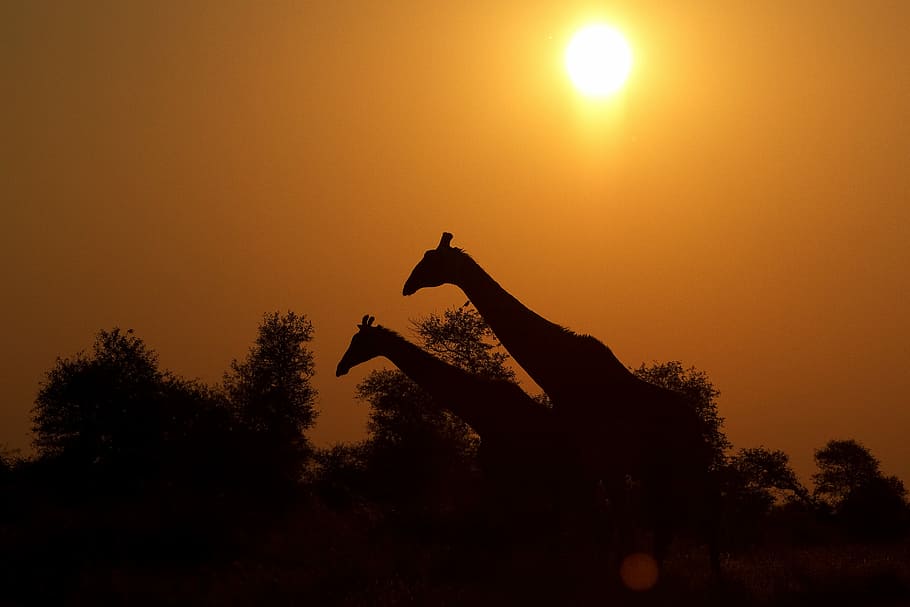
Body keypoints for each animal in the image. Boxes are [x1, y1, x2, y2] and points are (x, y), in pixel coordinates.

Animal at [402, 233, 721, 574]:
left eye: (431, 259)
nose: (407, 285)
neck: (558, 372)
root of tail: (697, 424)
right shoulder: (586, 459)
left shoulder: (595, 459)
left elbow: (609, 524)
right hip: (657, 470)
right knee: (668, 523)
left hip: (683, 466)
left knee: (702, 515)